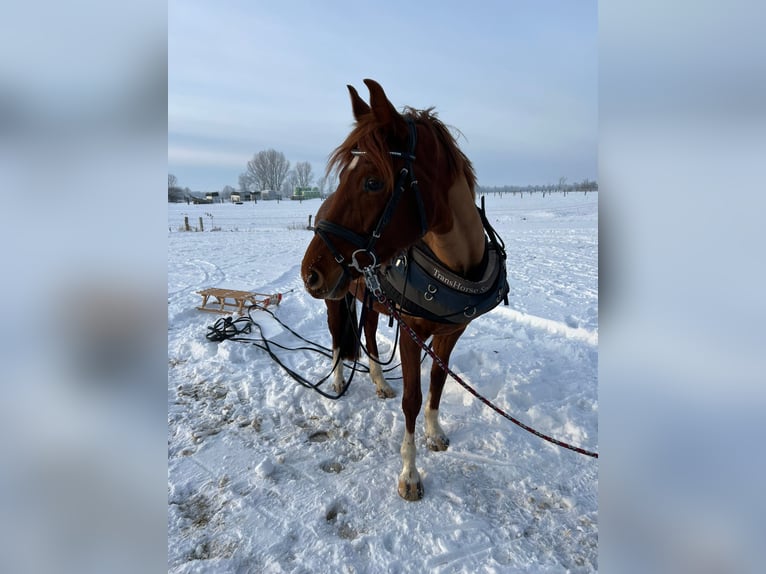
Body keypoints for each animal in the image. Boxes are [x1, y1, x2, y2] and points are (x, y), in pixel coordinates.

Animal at [301, 79, 508, 500]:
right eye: (343, 178)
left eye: (373, 182)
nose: (309, 273)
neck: (453, 266)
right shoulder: (413, 334)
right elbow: (412, 399)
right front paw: (410, 474)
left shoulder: (451, 332)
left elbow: (437, 384)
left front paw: (435, 433)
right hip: (336, 297)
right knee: (336, 338)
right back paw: (337, 380)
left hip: (368, 298)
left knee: (367, 332)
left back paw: (380, 381)